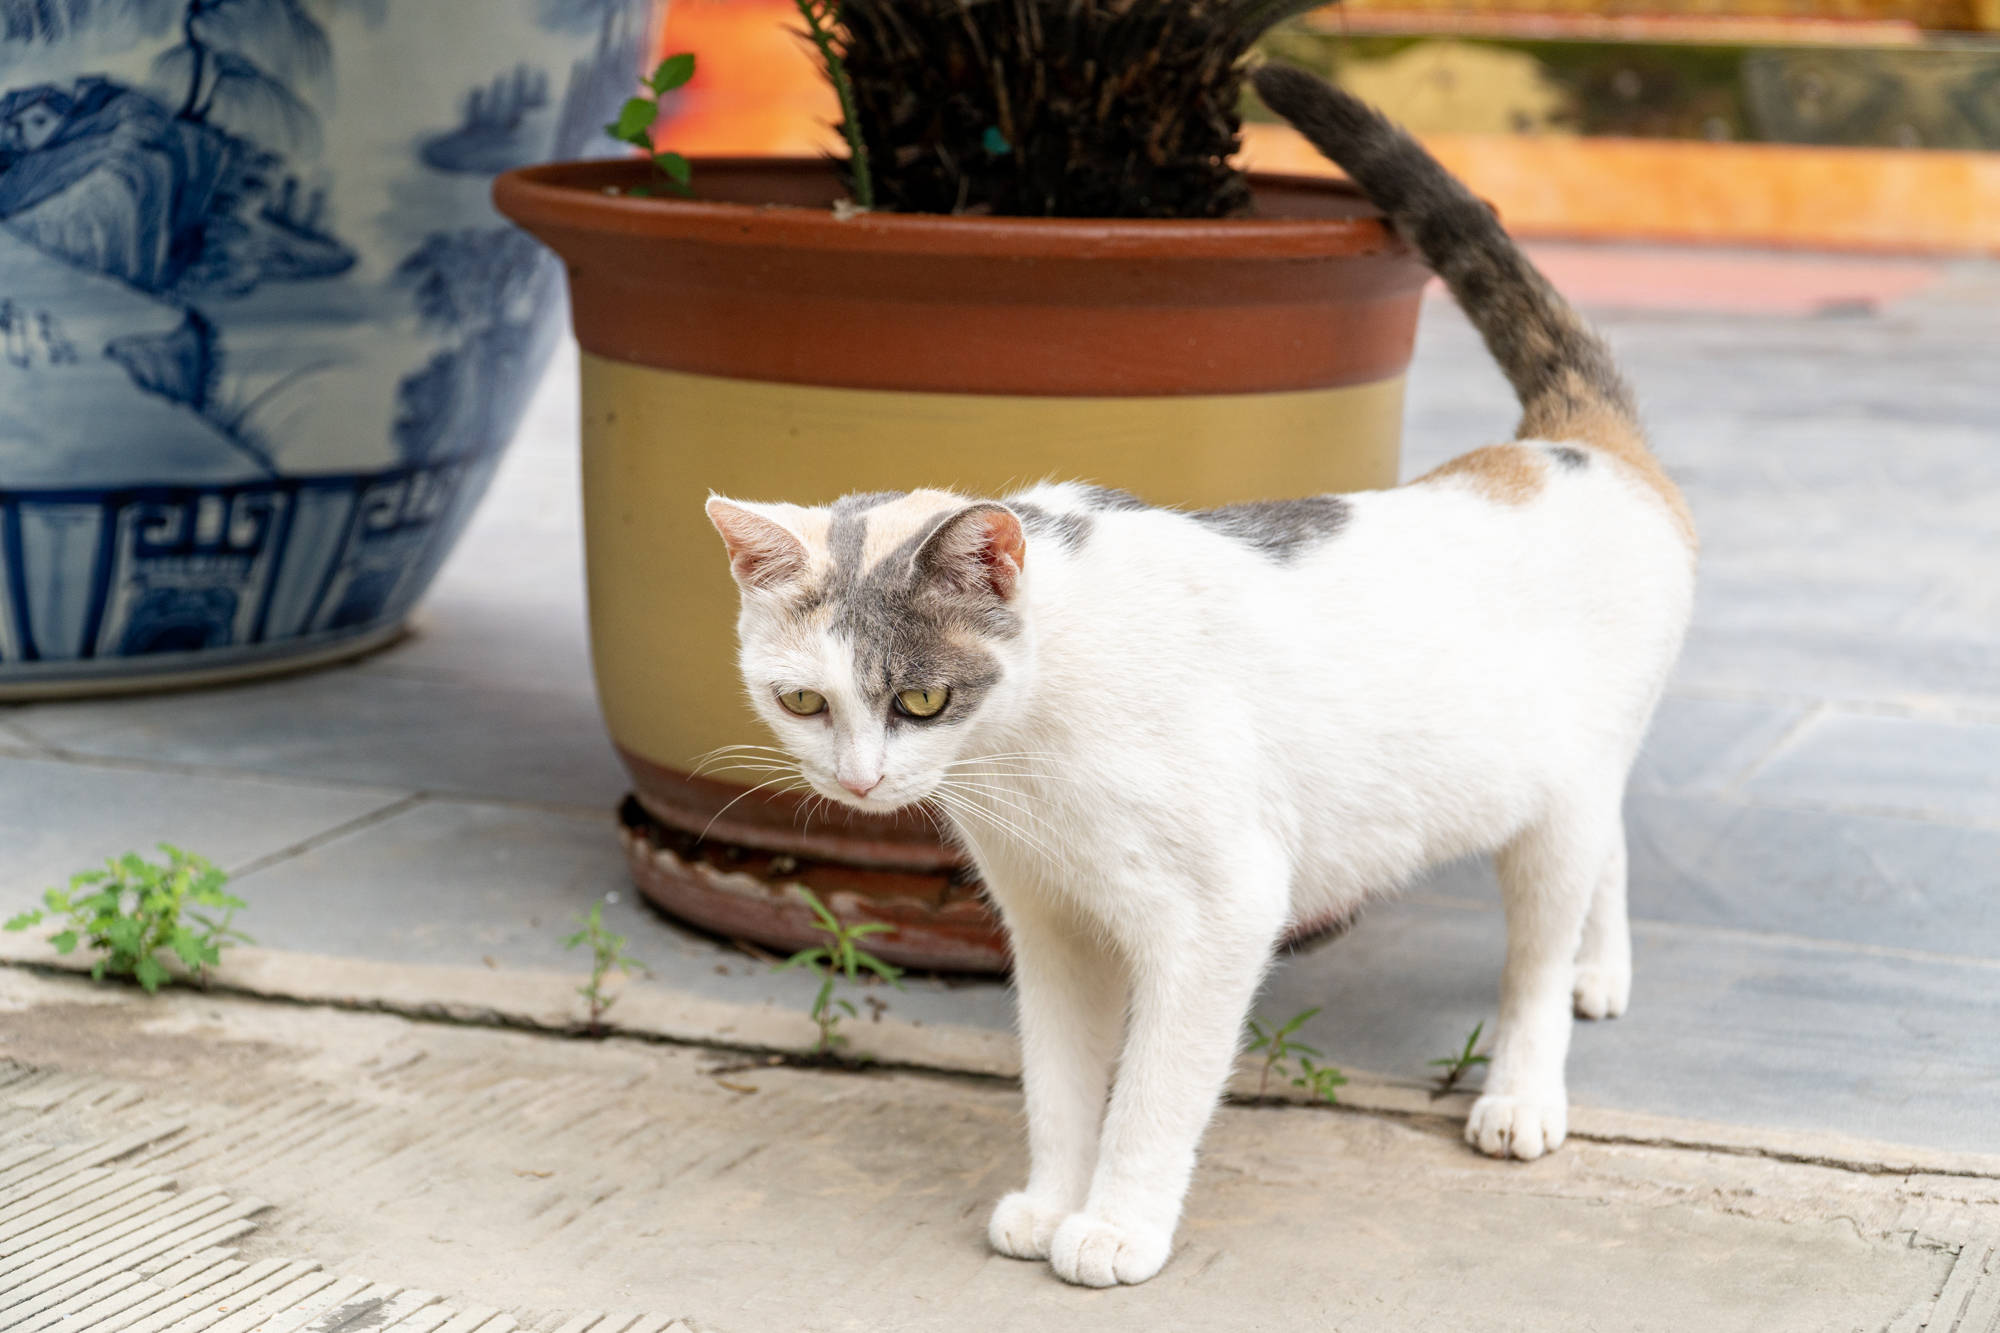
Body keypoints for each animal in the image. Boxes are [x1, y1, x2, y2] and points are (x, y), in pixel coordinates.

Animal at [704, 67, 1688, 1280]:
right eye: (803, 701)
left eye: (921, 698)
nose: (857, 782)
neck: (1030, 752)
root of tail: (1575, 447)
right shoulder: (1052, 927)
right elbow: (1060, 1084)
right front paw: (1051, 1198)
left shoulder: (1220, 913)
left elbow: (1152, 1093)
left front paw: (1115, 1224)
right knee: (1610, 850)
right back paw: (1603, 972)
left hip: (1549, 815)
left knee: (1538, 951)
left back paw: (1525, 1086)